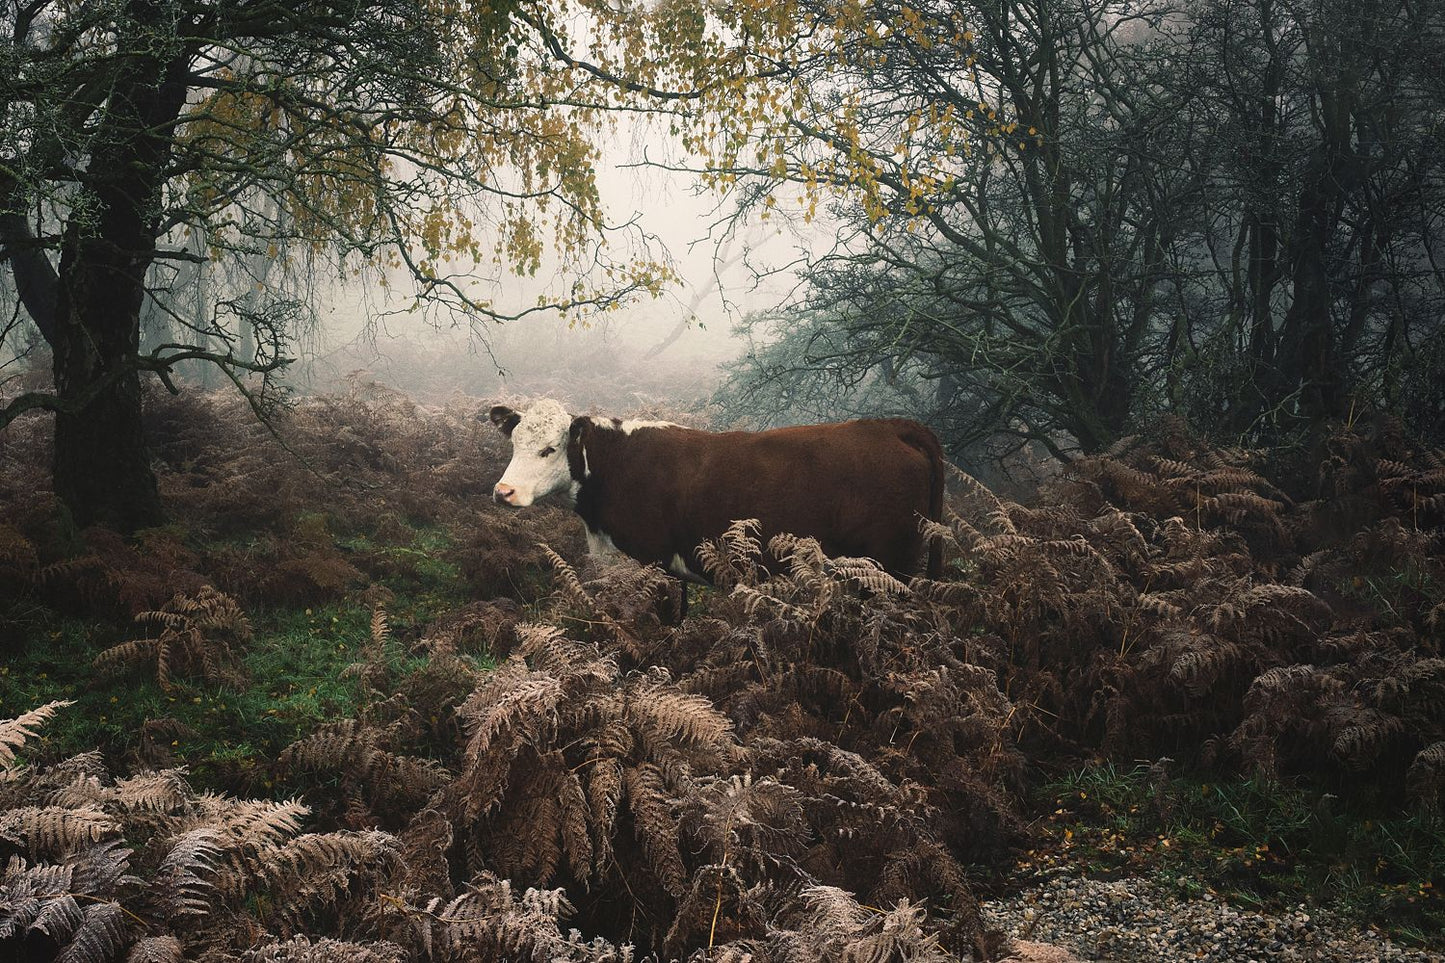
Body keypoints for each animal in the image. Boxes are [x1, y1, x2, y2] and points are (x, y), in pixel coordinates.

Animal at [486, 399, 944, 611]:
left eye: (549, 449)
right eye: (514, 442)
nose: (503, 491)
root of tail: (891, 427)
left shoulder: (656, 559)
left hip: (889, 566)